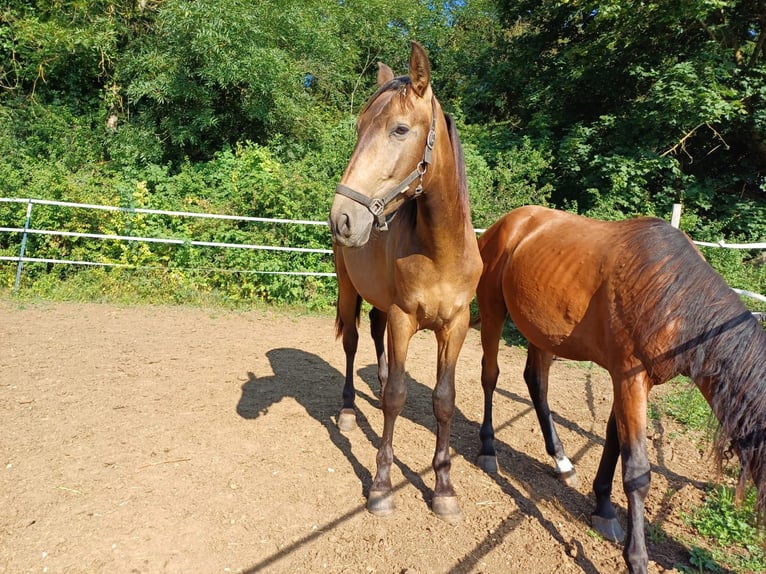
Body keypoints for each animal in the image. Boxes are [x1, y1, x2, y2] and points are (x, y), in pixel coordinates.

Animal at [328, 42, 484, 524]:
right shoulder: (403, 319)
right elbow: (398, 396)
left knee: (376, 346)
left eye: (399, 129)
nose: (342, 217)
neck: (440, 250)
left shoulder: (454, 327)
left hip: (379, 302)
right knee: (353, 342)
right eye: (359, 128)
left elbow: (443, 399)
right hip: (349, 291)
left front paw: (444, 488)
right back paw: (347, 410)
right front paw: (381, 485)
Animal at [476, 207, 764, 574]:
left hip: (542, 332)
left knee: (536, 384)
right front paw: (637, 559)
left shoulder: (626, 378)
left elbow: (614, 439)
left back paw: (562, 462)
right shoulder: (630, 379)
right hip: (492, 310)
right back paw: (488, 449)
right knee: (490, 376)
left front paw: (603, 507)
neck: (672, 296)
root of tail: (506, 224)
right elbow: (638, 471)